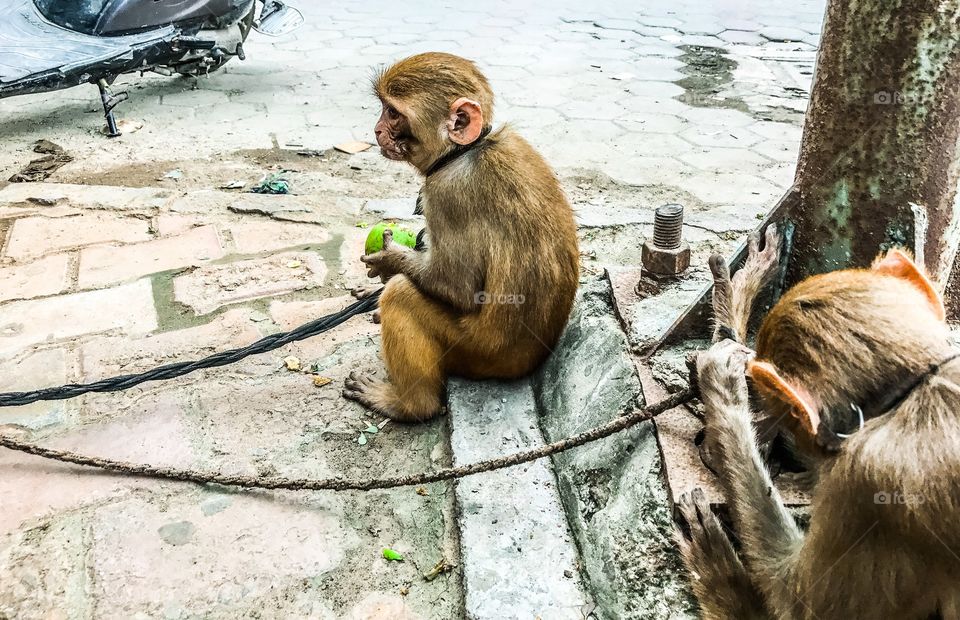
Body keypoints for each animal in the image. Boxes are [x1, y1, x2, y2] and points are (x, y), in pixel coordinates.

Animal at [342, 52, 579, 422]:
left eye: (392, 113)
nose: (377, 130)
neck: (465, 151)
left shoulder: (446, 193)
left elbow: (458, 287)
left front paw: (390, 261)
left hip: (476, 353)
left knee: (402, 296)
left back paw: (410, 404)